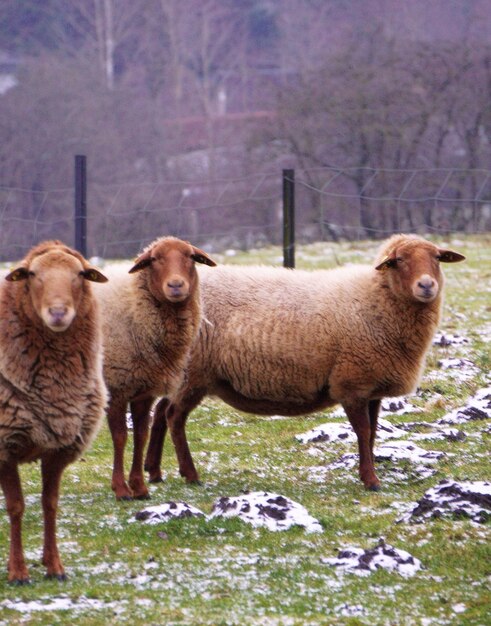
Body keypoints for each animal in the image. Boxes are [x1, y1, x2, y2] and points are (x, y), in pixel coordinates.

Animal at [0, 241, 107, 584]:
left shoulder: (59, 448)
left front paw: (54, 566)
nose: (58, 313)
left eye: (81, 274)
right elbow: (16, 507)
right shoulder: (5, 446)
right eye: (32, 274)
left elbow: (50, 505)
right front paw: (18, 572)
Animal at [92, 232, 215, 500]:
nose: (176, 285)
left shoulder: (143, 391)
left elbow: (141, 435)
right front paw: (121, 489)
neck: (133, 310)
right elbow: (120, 437)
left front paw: (139, 487)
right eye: (155, 259)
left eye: (191, 257)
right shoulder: (116, 386)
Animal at [145, 232, 466, 490]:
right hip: (194, 373)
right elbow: (363, 432)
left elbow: (373, 433)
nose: (427, 285)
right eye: (398, 260)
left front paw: (369, 473)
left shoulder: (371, 386)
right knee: (174, 416)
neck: (376, 299)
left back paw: (154, 471)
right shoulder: (351, 382)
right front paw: (371, 481)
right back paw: (190, 475)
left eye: (437, 258)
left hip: (183, 373)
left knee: (160, 412)